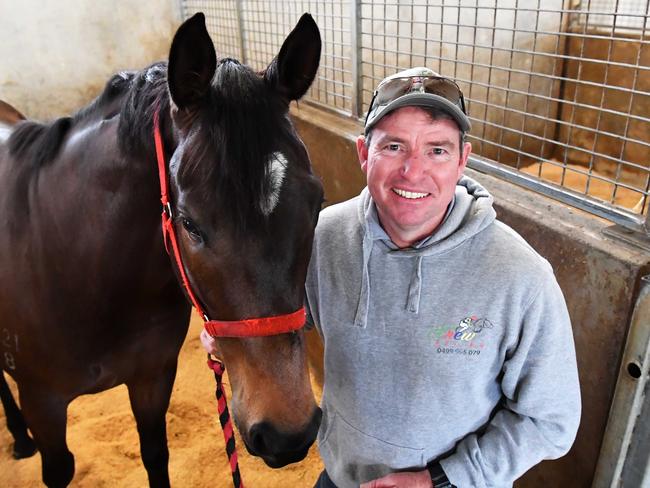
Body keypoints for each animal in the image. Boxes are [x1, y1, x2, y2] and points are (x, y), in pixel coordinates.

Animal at [0, 11, 322, 488]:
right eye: (189, 223)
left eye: (317, 203)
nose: (288, 432)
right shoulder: (43, 403)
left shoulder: (152, 378)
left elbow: (155, 452)